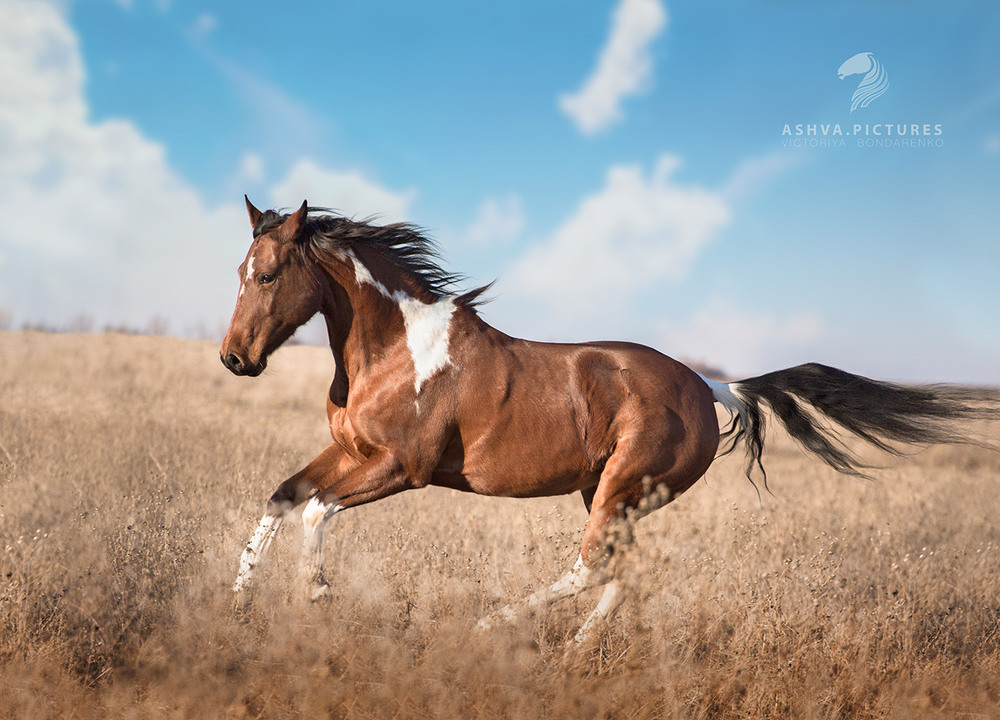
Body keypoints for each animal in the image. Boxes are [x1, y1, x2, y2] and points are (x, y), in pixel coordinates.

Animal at [223, 197, 996, 640]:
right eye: (238, 270)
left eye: (269, 274)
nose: (235, 358)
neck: (394, 351)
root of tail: (711, 387)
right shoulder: (351, 454)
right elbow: (281, 498)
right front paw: (237, 608)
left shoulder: (399, 468)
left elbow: (315, 511)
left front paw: (317, 598)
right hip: (613, 494)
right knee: (624, 572)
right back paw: (575, 651)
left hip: (619, 489)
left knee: (592, 565)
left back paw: (490, 625)